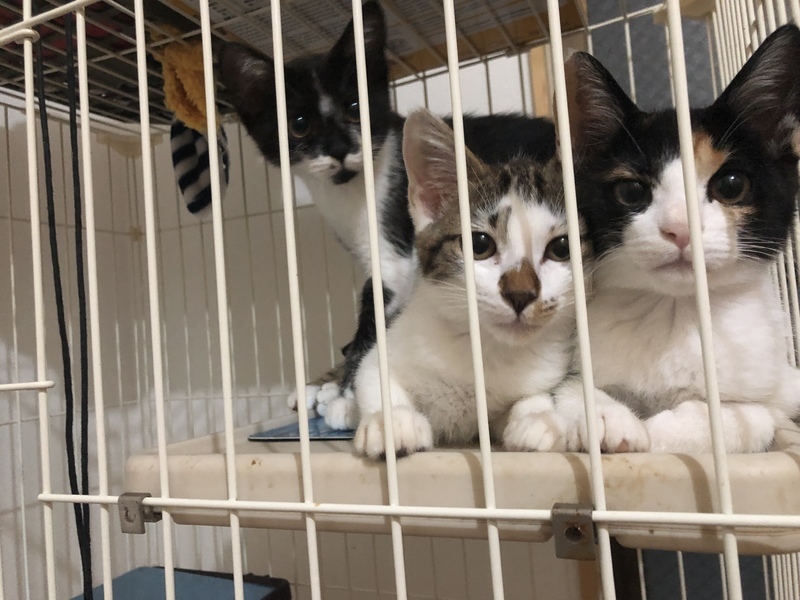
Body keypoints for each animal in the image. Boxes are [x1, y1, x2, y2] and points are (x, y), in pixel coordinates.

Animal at [216, 1, 556, 429]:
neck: (349, 189)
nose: (340, 149)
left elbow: (374, 309)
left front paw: (346, 395)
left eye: (355, 108)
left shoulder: (396, 251)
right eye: (299, 125)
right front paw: (328, 384)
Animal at [352, 108, 649, 458]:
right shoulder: (385, 350)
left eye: (562, 248)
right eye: (480, 245)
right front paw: (392, 420)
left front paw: (537, 420)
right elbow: (373, 377)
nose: (520, 294)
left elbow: (534, 399)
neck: (487, 348)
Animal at [561, 24, 800, 453]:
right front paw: (608, 419)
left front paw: (657, 431)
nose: (680, 227)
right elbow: (574, 386)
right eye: (631, 191)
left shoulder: (764, 398)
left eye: (731, 185)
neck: (676, 310)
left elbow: (740, 419)